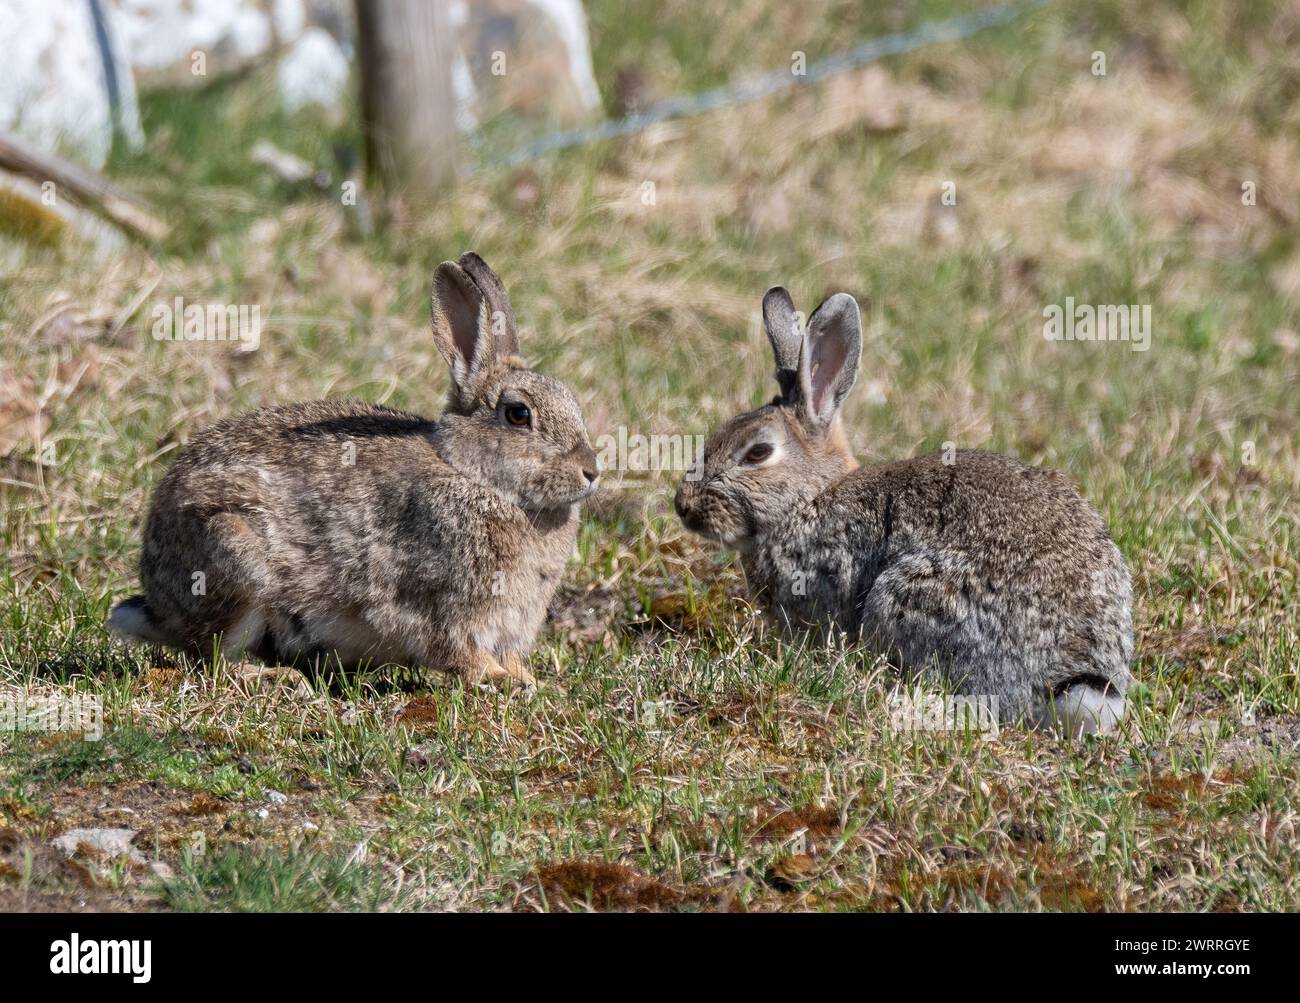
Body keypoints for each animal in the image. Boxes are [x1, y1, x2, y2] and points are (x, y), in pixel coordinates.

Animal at [108, 252, 599, 689]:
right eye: (518, 414)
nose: (591, 471)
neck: (474, 476)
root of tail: (157, 603)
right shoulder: (444, 604)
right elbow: (456, 648)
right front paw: (498, 680)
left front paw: (525, 680)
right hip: (234, 557)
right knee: (209, 655)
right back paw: (270, 678)